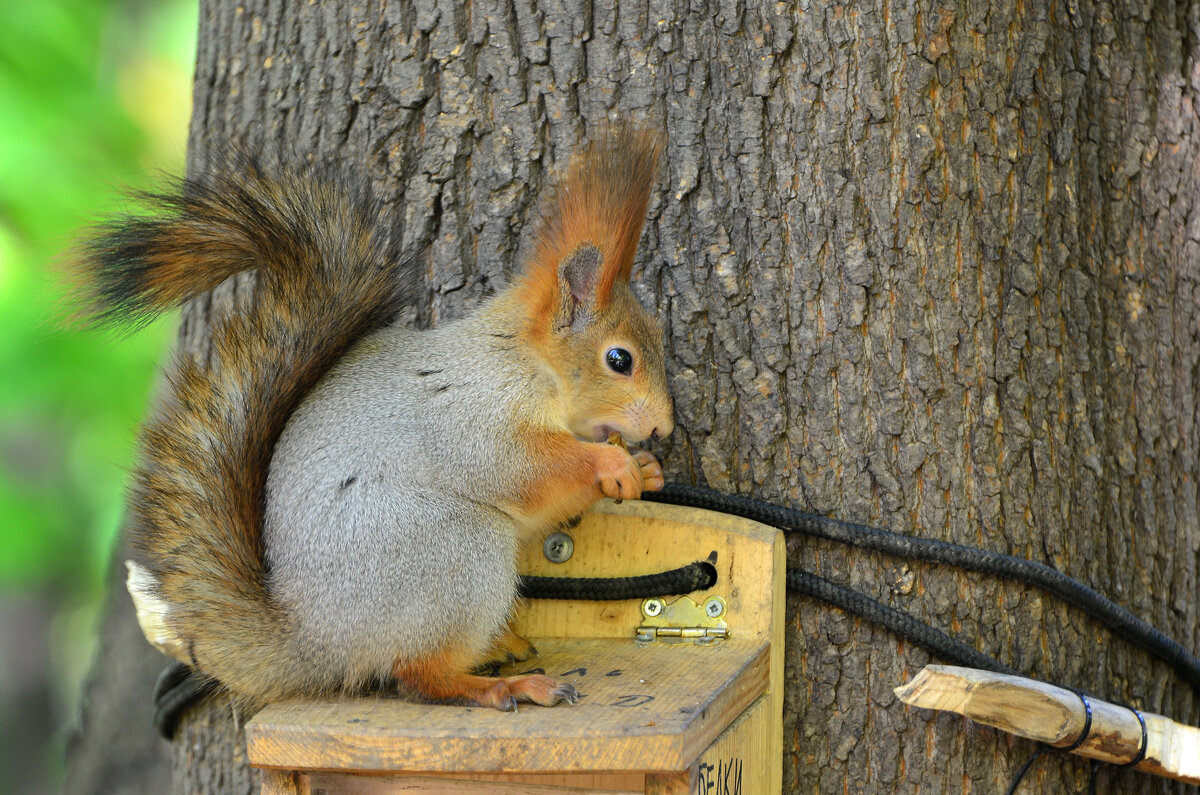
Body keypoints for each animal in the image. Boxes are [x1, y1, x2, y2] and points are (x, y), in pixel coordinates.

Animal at [75, 127, 676, 710]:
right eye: (619, 359)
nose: (663, 429)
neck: (529, 363)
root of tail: (314, 642)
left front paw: (645, 470)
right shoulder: (472, 415)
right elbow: (519, 469)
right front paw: (611, 464)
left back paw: (499, 649)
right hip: (449, 546)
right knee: (417, 674)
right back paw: (501, 686)